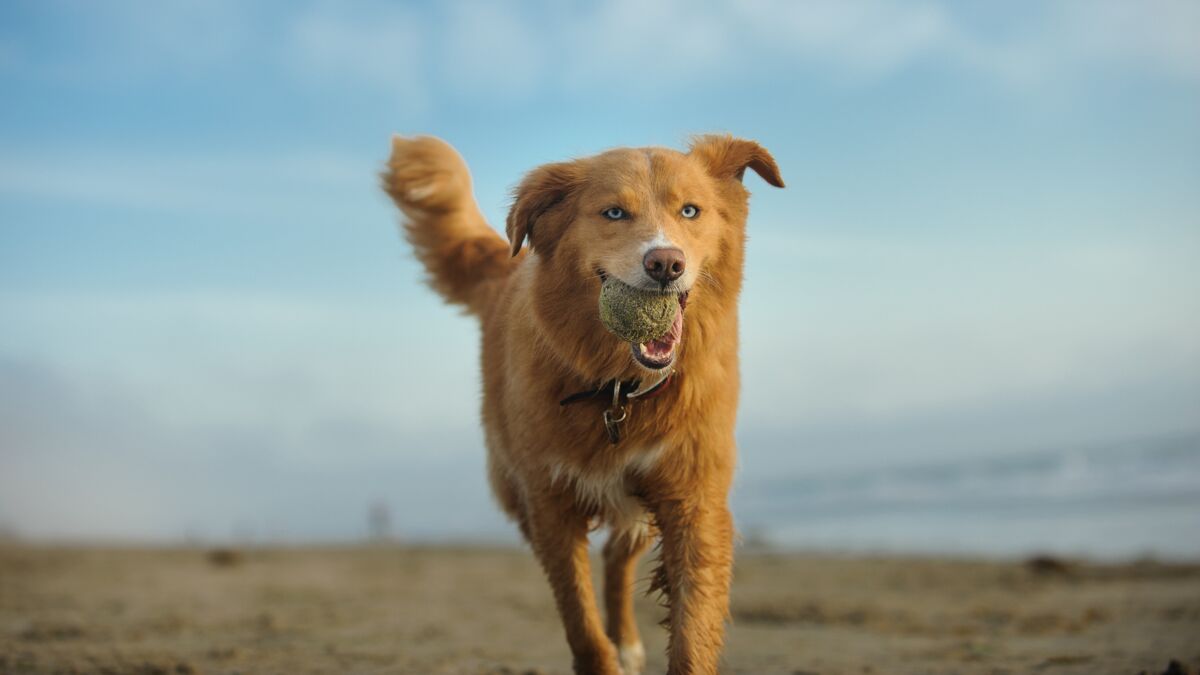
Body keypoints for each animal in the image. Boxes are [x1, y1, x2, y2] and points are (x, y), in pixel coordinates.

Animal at [379, 133, 782, 667]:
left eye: (690, 211)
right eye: (613, 213)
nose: (666, 263)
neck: (618, 386)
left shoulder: (693, 497)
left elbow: (692, 625)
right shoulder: (550, 501)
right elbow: (580, 619)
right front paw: (601, 655)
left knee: (618, 551)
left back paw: (628, 642)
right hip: (514, 489)